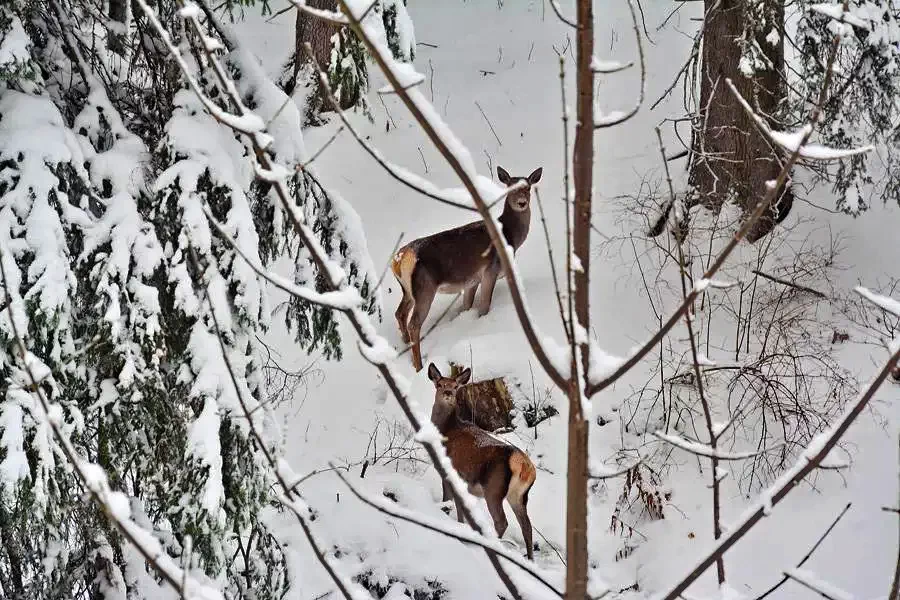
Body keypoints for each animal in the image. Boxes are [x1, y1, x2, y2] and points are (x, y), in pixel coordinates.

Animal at [388, 165, 540, 370]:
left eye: (528, 188)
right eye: (509, 188)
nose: (522, 203)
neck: (510, 238)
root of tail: (399, 259)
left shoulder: (471, 281)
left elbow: (467, 306)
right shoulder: (491, 269)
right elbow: (484, 305)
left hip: (408, 290)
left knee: (400, 313)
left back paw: (404, 347)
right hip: (424, 287)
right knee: (414, 324)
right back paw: (418, 365)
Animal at [428, 360, 536, 564]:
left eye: (455, 386)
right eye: (439, 384)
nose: (448, 393)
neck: (446, 430)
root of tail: (525, 466)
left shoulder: (449, 471)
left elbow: (450, 501)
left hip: (493, 488)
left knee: (502, 521)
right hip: (519, 495)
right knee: (527, 525)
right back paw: (530, 560)